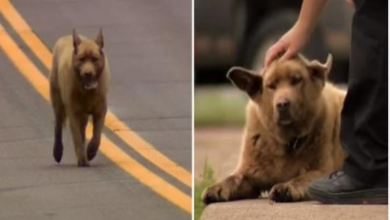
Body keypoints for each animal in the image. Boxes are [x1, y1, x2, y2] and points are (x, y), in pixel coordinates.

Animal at [49, 29, 109, 167]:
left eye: (94, 59)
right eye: (81, 59)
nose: (88, 73)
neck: (87, 91)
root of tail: (65, 37)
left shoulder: (100, 111)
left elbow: (97, 135)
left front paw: (91, 151)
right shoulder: (73, 112)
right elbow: (76, 136)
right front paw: (82, 158)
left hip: (84, 114)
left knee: (82, 130)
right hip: (57, 100)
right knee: (58, 125)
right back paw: (58, 152)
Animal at [203, 54, 346, 203]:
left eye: (297, 80)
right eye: (271, 86)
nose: (282, 104)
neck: (288, 141)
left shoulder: (324, 170)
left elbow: (302, 178)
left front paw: (286, 188)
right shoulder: (249, 171)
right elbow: (233, 178)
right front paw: (217, 187)